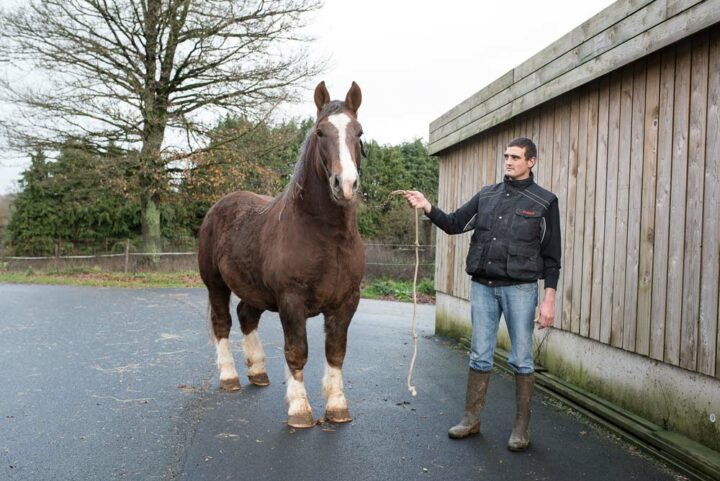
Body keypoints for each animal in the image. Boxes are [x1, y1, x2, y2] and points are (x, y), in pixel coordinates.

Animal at [197, 79, 366, 428]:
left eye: (359, 132)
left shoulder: (346, 301)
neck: (327, 238)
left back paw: (258, 372)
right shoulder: (291, 300)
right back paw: (230, 377)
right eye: (320, 132)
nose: (344, 185)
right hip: (215, 284)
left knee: (246, 315)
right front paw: (300, 410)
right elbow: (297, 350)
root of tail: (219, 205)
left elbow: (336, 351)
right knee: (222, 323)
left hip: (254, 289)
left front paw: (337, 407)